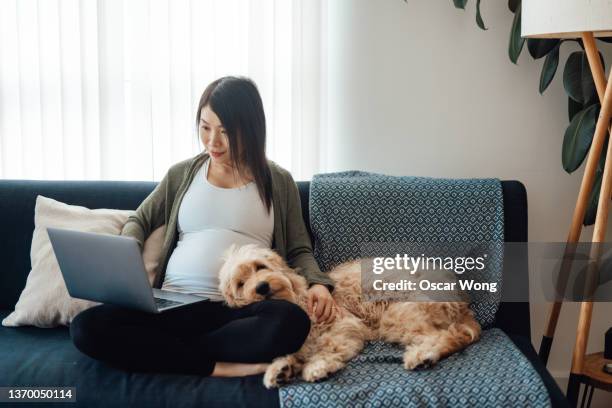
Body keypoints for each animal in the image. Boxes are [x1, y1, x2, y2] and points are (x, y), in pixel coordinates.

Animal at [218, 245, 480, 388]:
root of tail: (462, 300)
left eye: (260, 267)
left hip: (399, 314)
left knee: (446, 336)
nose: (261, 287)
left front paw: (318, 366)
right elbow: (296, 353)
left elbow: (329, 347)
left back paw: (423, 355)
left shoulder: (344, 325)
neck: (297, 300)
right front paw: (282, 369)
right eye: (241, 284)